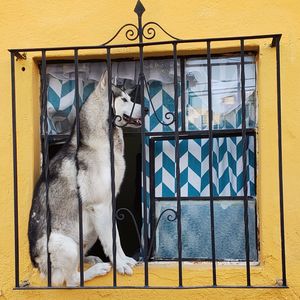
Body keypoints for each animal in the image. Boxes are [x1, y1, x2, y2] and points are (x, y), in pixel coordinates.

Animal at [28, 70, 142, 286]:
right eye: (124, 99)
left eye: (131, 98)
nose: (146, 108)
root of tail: (39, 268)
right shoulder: (99, 206)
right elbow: (111, 241)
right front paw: (120, 265)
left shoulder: (108, 205)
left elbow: (115, 238)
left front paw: (124, 260)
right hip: (65, 243)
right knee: (72, 280)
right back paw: (96, 269)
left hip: (89, 232)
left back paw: (90, 260)